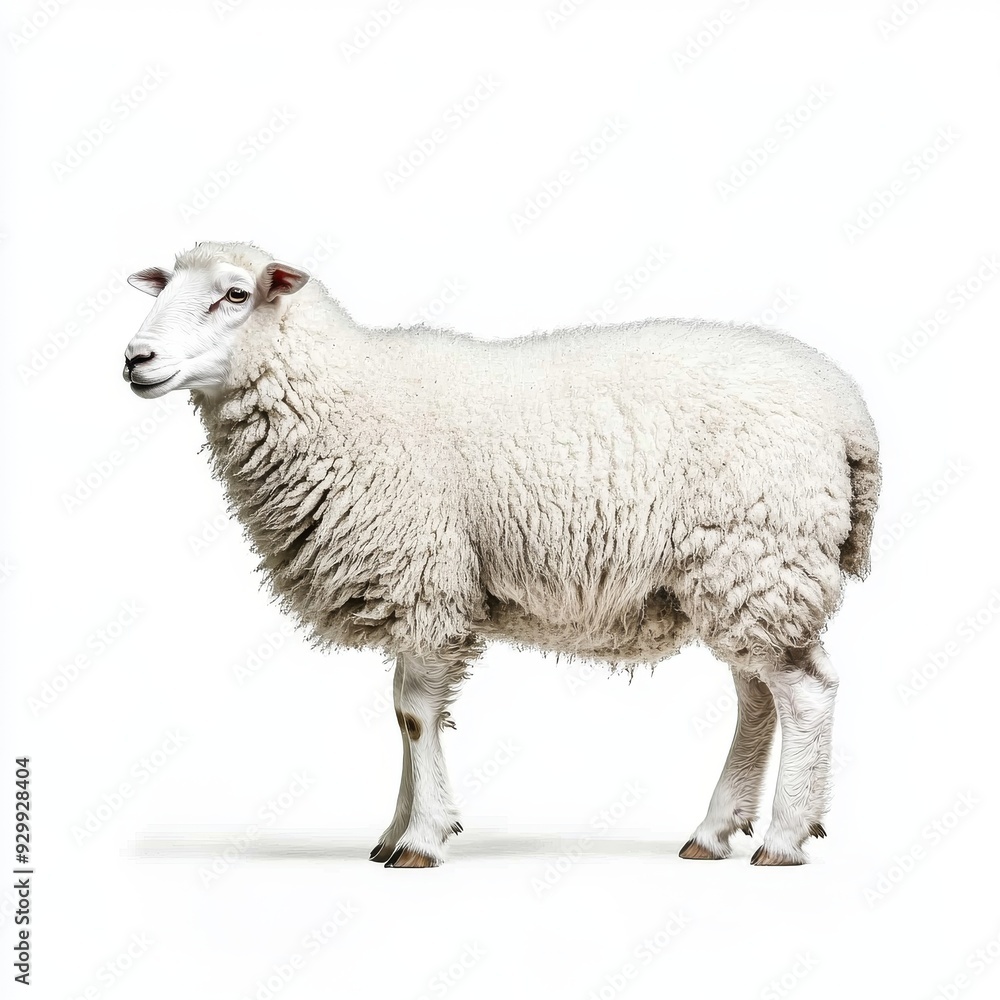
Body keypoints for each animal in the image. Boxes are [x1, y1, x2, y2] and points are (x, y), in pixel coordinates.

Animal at [122, 240, 880, 868]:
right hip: (738, 578)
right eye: (163, 289)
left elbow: (414, 714)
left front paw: (422, 838)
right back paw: (714, 831)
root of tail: (848, 413)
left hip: (760, 557)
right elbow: (402, 714)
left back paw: (783, 837)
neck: (342, 396)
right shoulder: (422, 589)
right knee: (757, 697)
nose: (135, 359)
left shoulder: (426, 578)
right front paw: (394, 831)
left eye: (235, 294)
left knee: (806, 692)